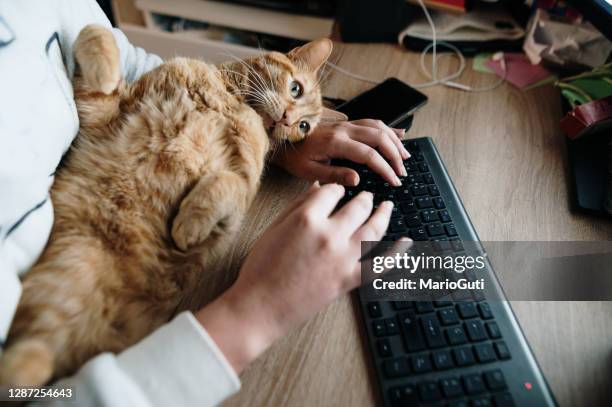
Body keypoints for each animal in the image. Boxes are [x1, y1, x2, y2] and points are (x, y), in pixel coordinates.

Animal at [0, 23, 340, 388]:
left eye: (304, 128)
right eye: (295, 88)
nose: (289, 120)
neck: (228, 98)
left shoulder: (240, 191)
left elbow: (224, 183)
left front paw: (189, 225)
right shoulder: (102, 114)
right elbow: (97, 32)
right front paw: (106, 71)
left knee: (38, 358)